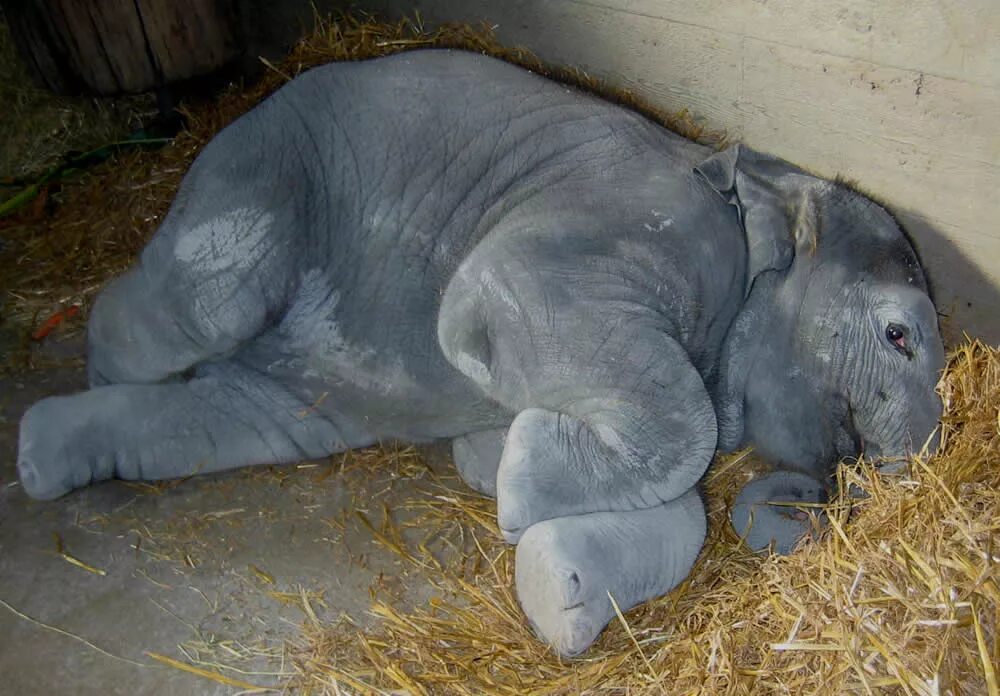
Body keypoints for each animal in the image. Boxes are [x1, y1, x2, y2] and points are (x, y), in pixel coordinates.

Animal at [17, 51, 944, 656]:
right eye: (898, 335)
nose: (834, 487)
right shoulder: (643, 227)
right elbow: (522, 320)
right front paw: (518, 478)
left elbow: (679, 502)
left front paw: (543, 556)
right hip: (262, 175)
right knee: (196, 306)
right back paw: (94, 372)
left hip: (303, 391)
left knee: (227, 416)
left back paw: (44, 454)